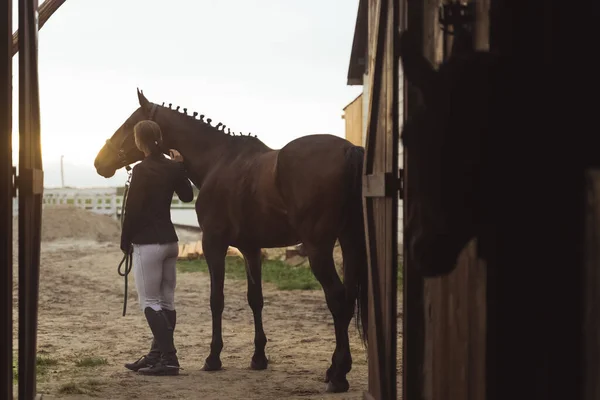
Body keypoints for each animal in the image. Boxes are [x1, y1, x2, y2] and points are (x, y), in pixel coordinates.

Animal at [93, 89, 368, 392]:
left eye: (130, 124)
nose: (99, 162)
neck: (218, 160)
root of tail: (348, 150)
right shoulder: (251, 248)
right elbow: (255, 299)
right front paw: (258, 358)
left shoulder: (214, 244)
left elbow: (217, 299)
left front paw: (213, 358)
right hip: (349, 240)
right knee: (349, 297)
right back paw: (334, 370)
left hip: (319, 248)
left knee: (338, 299)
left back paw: (338, 375)